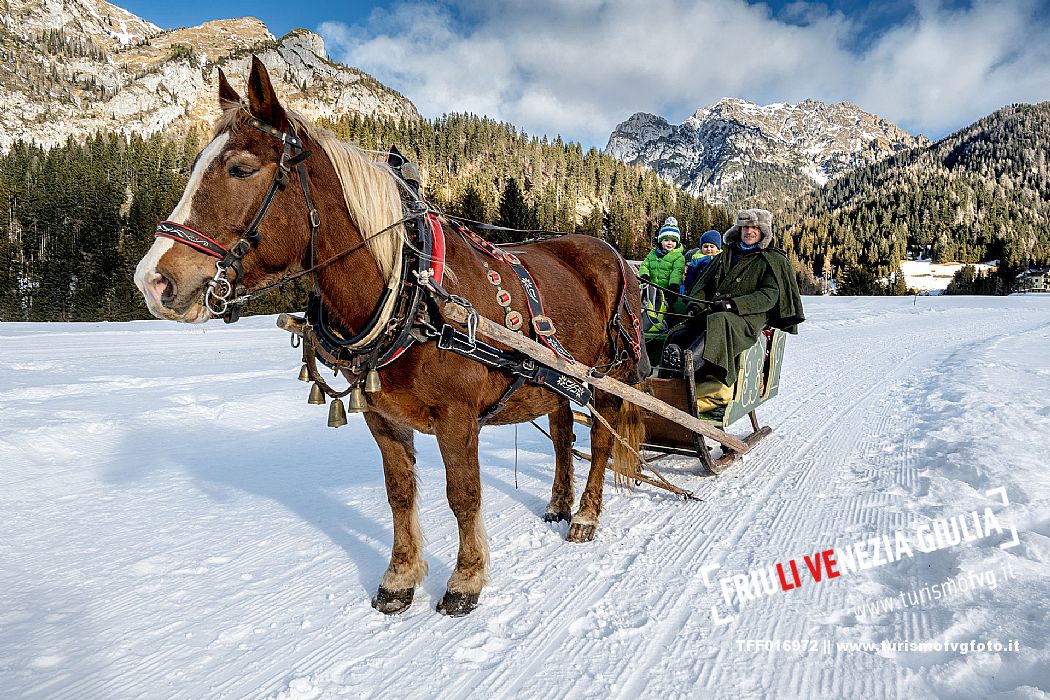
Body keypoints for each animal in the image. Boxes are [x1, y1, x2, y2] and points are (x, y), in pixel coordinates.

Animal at [135, 60, 642, 617]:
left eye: (241, 169)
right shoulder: (381, 415)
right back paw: (557, 502)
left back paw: (585, 516)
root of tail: (614, 256)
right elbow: (399, 492)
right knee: (562, 433)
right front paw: (399, 577)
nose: (153, 281)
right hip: (556, 379)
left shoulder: (458, 417)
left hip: (612, 375)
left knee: (599, 443)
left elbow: (463, 495)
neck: (412, 291)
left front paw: (466, 580)